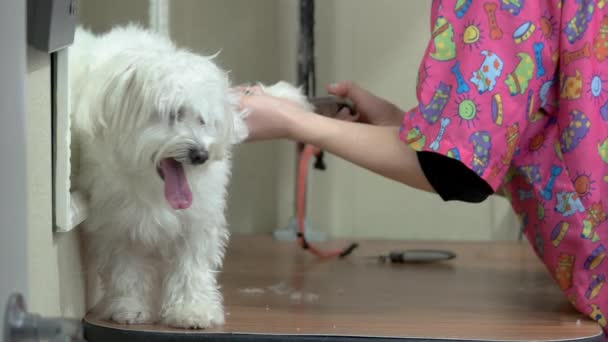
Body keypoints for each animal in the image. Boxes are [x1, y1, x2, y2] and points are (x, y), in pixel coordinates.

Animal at [69, 24, 312, 328]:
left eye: (203, 120)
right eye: (173, 114)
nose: (200, 155)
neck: (153, 186)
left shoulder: (197, 221)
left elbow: (191, 267)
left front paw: (192, 310)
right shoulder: (118, 224)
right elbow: (127, 268)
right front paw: (129, 307)